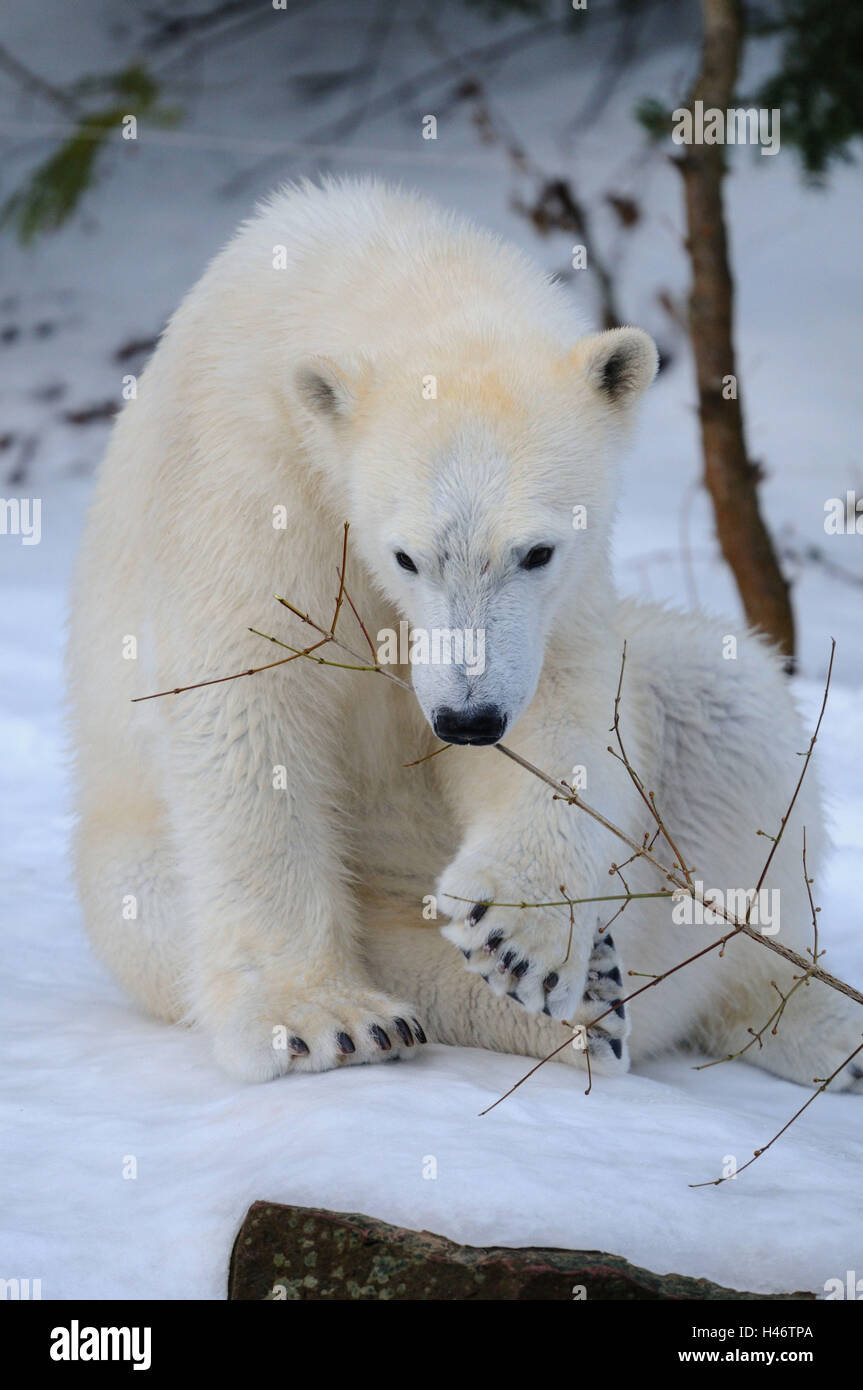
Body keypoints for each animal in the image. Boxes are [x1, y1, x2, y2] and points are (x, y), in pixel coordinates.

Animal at [69, 176, 861, 1084]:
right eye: (405, 556)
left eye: (535, 550)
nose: (468, 719)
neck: (374, 260)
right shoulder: (240, 469)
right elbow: (247, 704)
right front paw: (320, 1017)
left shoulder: (563, 588)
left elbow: (563, 697)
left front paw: (516, 935)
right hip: (130, 849)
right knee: (161, 905)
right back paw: (577, 1006)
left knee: (729, 708)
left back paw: (791, 1020)